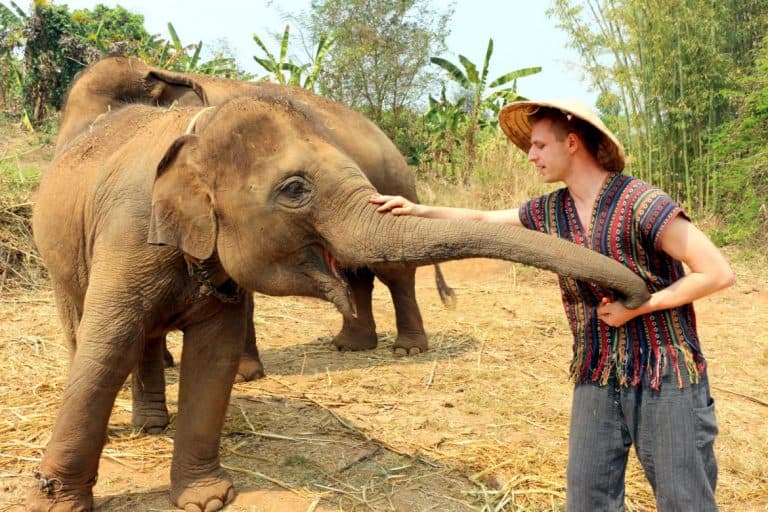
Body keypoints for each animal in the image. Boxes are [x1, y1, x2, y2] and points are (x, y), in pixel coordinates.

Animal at [55, 56, 456, 382]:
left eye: (104, 121)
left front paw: (243, 375)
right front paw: (165, 362)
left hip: (392, 183)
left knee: (396, 274)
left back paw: (407, 349)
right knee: (355, 270)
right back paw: (349, 345)